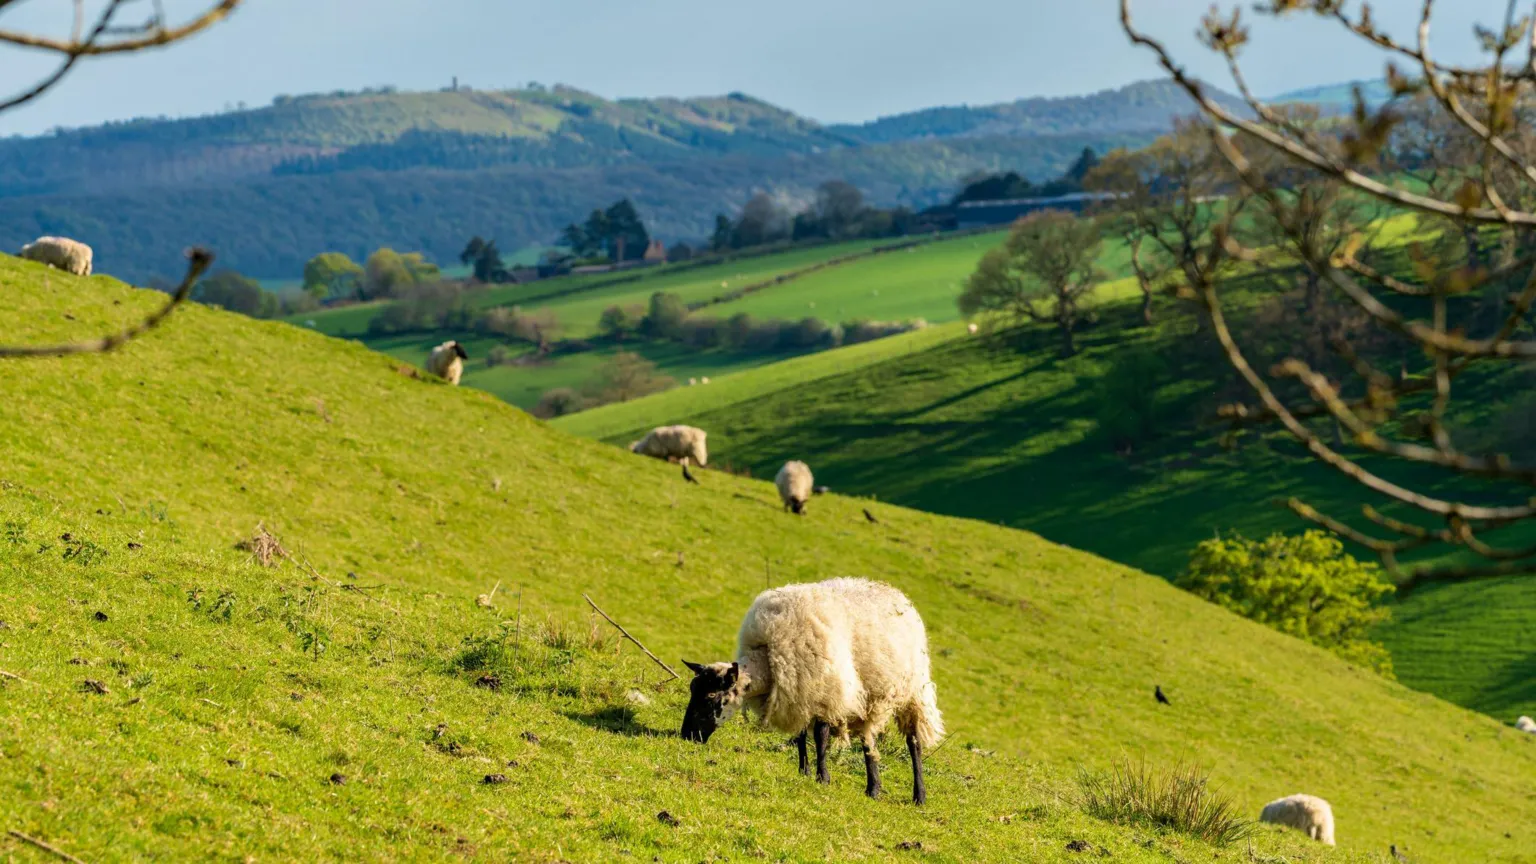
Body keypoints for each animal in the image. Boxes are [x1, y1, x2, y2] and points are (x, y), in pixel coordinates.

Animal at [680, 577, 944, 805]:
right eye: (693, 690)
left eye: (711, 695)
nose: (687, 735)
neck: (767, 658)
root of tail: (896, 593)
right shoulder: (796, 694)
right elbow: (800, 735)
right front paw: (803, 770)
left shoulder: (823, 693)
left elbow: (820, 736)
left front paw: (822, 777)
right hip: (870, 698)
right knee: (868, 739)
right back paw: (873, 788)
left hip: (913, 692)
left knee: (913, 742)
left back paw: (919, 795)